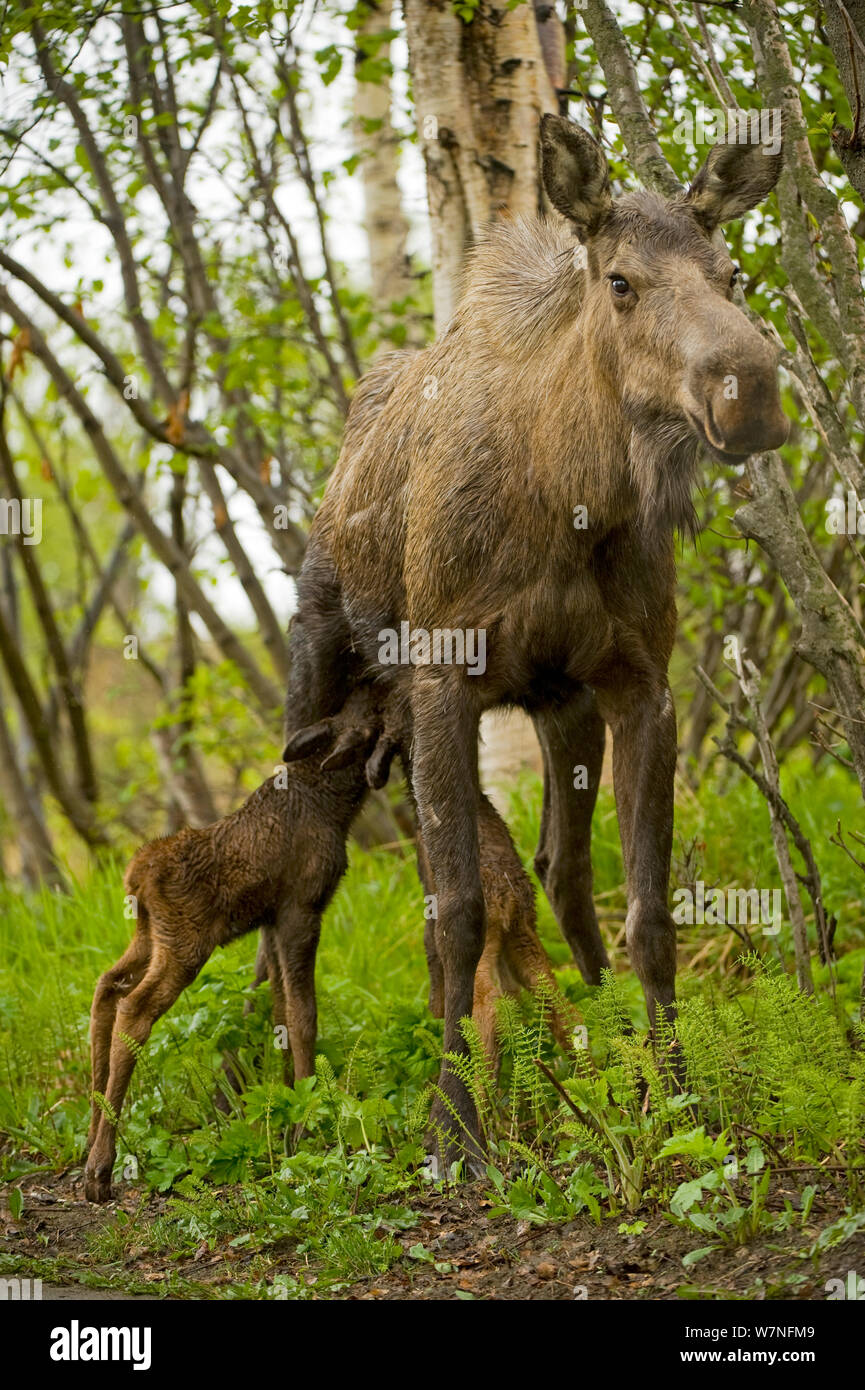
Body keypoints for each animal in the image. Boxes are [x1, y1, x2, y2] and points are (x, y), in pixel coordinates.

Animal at [285, 113, 795, 1167]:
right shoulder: (444, 685)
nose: (753, 392)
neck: (570, 498)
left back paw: (590, 1036)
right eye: (621, 281)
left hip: (557, 710)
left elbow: (645, 908)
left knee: (563, 872)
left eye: (732, 274)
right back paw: (300, 1088)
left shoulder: (638, 683)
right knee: (296, 895)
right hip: (318, 680)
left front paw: (671, 1091)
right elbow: (457, 914)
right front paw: (452, 1123)